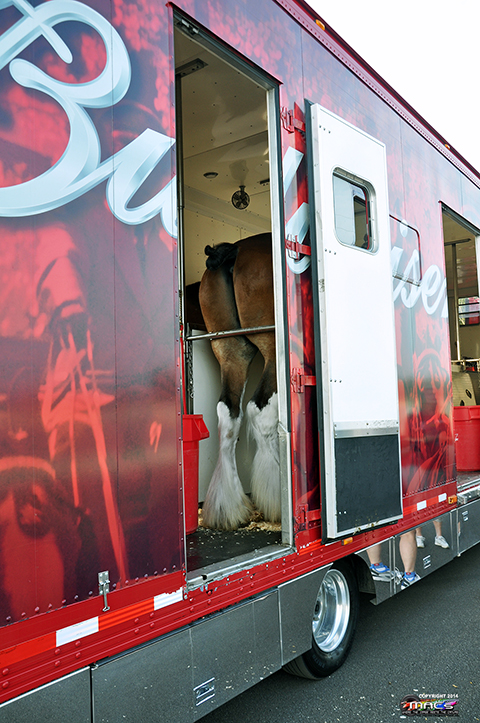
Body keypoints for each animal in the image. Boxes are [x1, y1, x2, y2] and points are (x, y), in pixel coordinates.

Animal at [198, 233, 279, 530]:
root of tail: (236, 249)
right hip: (273, 347)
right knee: (260, 408)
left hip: (232, 351)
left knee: (228, 414)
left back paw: (228, 508)